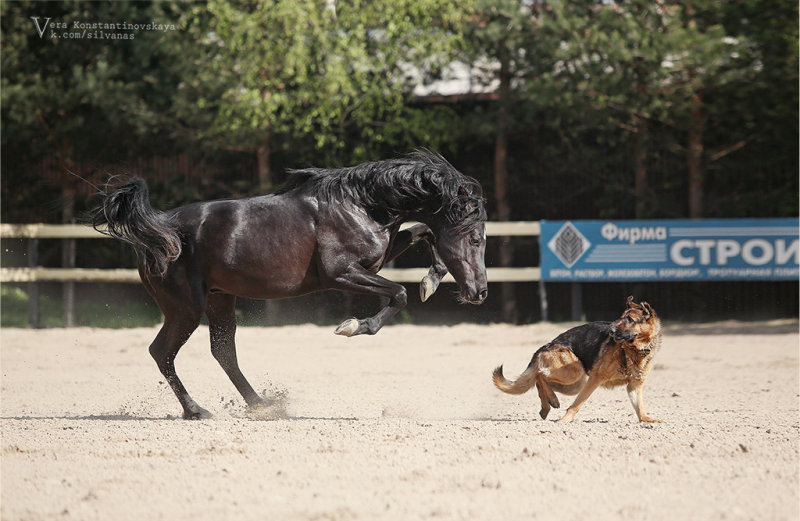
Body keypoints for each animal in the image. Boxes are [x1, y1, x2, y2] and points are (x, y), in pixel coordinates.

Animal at [90, 150, 488, 419]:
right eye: (475, 239)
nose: (480, 292)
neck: (360, 204)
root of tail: (160, 230)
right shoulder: (341, 273)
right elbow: (399, 293)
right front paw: (352, 326)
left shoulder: (376, 257)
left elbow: (422, 232)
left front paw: (430, 281)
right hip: (185, 309)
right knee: (163, 352)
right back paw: (197, 411)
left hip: (220, 300)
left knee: (223, 351)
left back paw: (262, 405)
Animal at [493, 296, 663, 423]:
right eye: (620, 318)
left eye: (629, 319)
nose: (611, 330)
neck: (635, 349)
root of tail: (543, 347)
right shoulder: (594, 379)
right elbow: (577, 403)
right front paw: (565, 420)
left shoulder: (634, 386)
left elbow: (640, 407)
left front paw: (646, 419)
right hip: (574, 374)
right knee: (540, 375)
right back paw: (552, 400)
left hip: (575, 384)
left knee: (540, 381)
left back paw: (547, 406)